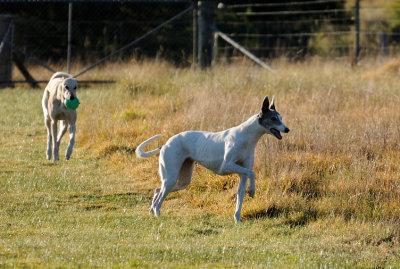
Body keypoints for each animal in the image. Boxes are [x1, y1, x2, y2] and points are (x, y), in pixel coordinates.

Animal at [136, 95, 290, 221]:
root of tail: (165, 144)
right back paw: (157, 214)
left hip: (182, 180)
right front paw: (252, 190)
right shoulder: (226, 166)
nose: (287, 129)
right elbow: (252, 173)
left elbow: (241, 192)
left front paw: (237, 218)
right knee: (160, 195)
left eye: (281, 118)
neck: (246, 137)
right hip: (171, 177)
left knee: (157, 190)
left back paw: (152, 212)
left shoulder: (242, 172)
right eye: (273, 118)